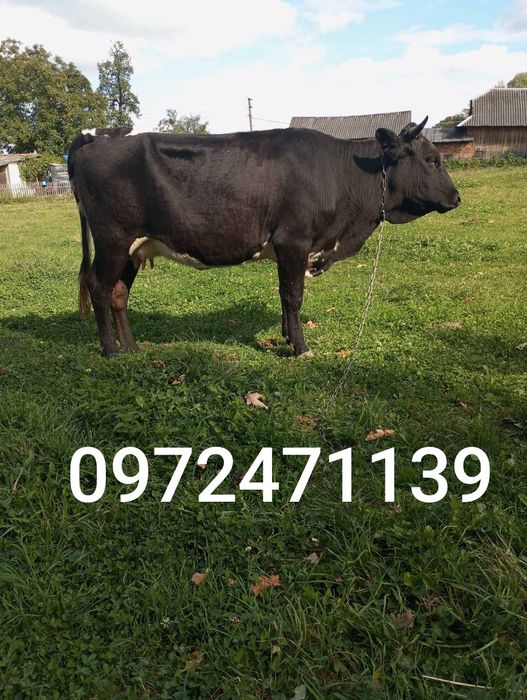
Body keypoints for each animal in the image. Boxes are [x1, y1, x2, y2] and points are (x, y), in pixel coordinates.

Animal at [68, 117, 460, 357]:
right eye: (432, 159)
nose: (456, 198)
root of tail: (94, 136)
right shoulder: (294, 241)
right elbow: (294, 296)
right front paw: (301, 347)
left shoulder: (288, 250)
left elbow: (284, 296)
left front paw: (286, 337)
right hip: (113, 239)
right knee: (98, 286)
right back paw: (111, 350)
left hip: (133, 247)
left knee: (118, 293)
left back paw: (132, 348)